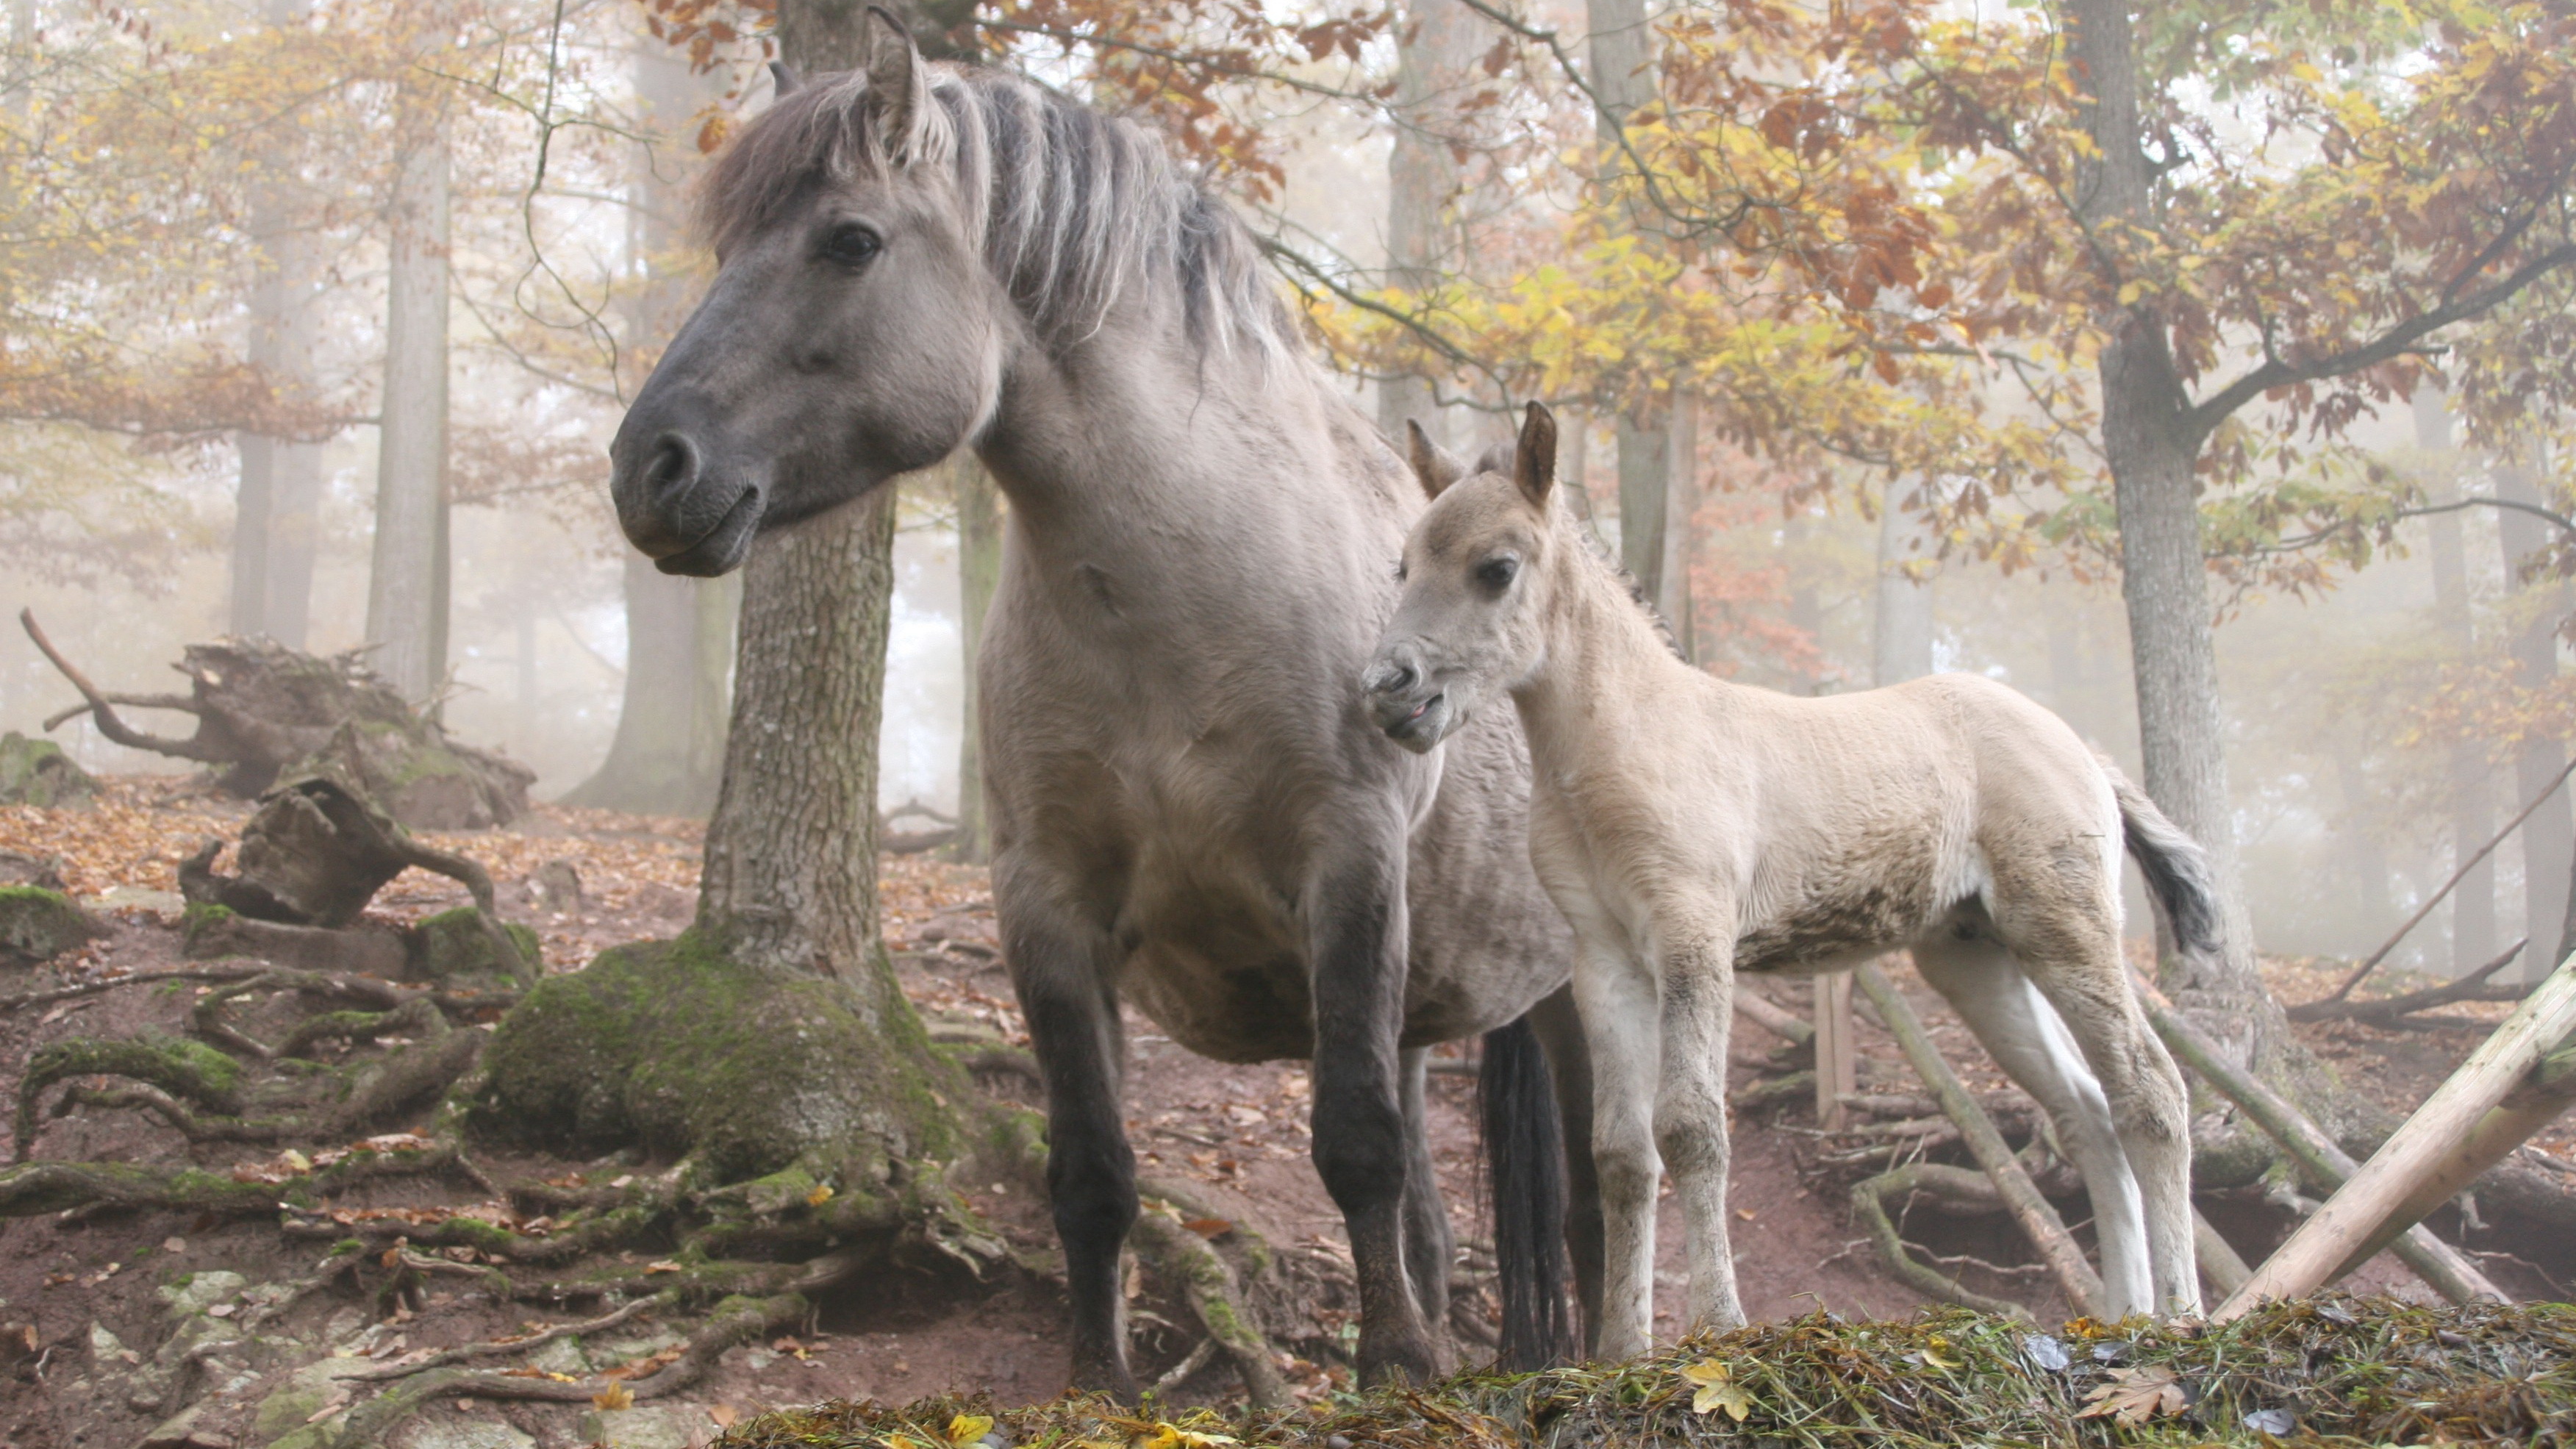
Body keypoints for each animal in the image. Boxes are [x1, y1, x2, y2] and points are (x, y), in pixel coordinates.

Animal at [607, 14, 1586, 1392]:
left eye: (849, 240)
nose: (649, 470)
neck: (1176, 601)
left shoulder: (1346, 863)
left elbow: (1353, 1143)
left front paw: (1392, 1369)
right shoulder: (1047, 903)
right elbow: (1091, 1172)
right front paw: (1101, 1380)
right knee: (1436, 1208)